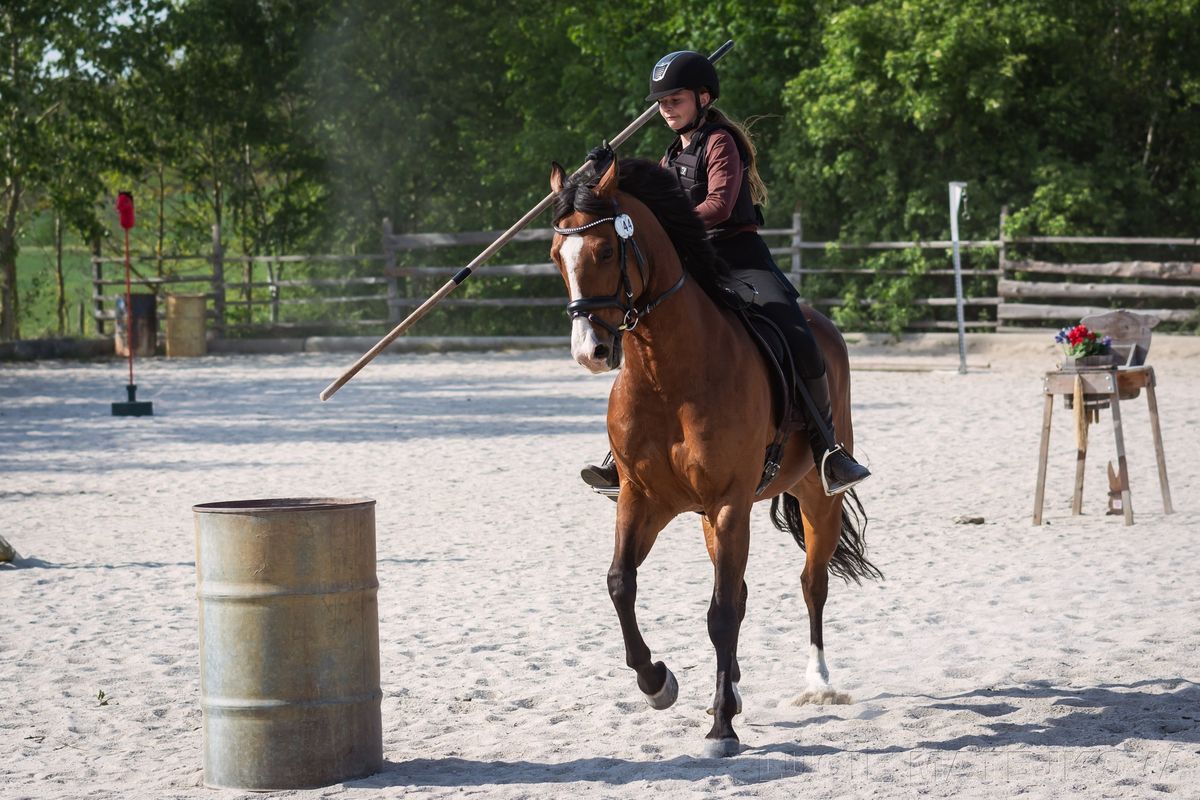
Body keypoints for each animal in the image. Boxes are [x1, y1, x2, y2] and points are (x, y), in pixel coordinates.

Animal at [549, 154, 883, 758]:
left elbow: (721, 613)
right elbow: (620, 584)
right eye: (555, 256)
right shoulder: (643, 499)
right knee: (745, 590)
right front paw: (658, 682)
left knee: (812, 583)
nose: (590, 351)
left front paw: (722, 728)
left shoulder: (729, 503)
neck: (669, 375)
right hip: (712, 517)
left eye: (606, 250)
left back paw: (817, 682)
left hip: (814, 498)